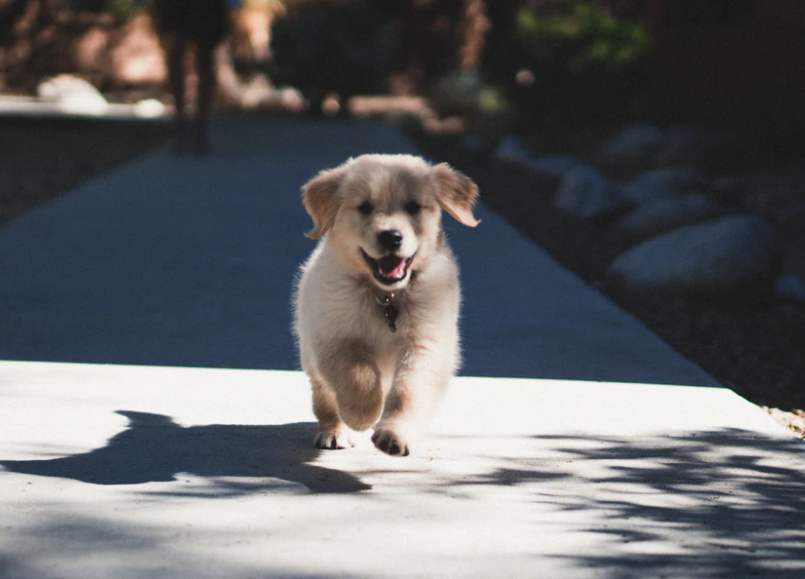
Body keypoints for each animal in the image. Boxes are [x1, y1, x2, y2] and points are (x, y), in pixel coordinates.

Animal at [294, 154, 478, 458]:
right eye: (365, 207)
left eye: (413, 206)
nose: (391, 236)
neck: (386, 296)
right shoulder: (334, 336)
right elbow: (358, 374)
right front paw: (362, 414)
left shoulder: (426, 343)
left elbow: (409, 391)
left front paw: (395, 434)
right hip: (310, 354)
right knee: (325, 397)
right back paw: (334, 431)